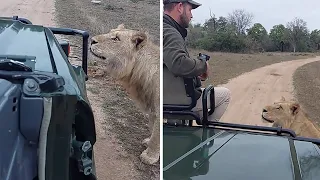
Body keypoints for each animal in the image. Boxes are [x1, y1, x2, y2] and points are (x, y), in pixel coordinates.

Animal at [89, 24, 159, 166]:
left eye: (116, 39)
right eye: (110, 32)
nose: (92, 40)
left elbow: (157, 135)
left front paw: (149, 157)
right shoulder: (153, 108)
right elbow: (153, 129)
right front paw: (148, 142)